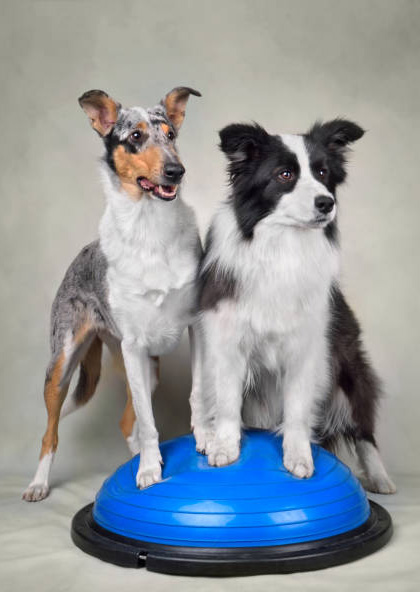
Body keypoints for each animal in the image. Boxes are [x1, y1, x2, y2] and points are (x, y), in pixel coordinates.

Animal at [195, 118, 396, 492]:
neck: (283, 245)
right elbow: (228, 402)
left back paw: (380, 477)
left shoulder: (306, 349)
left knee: (363, 428)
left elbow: (298, 409)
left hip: (349, 369)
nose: (326, 203)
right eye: (285, 174)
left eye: (322, 172)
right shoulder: (228, 342)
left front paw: (299, 457)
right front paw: (224, 448)